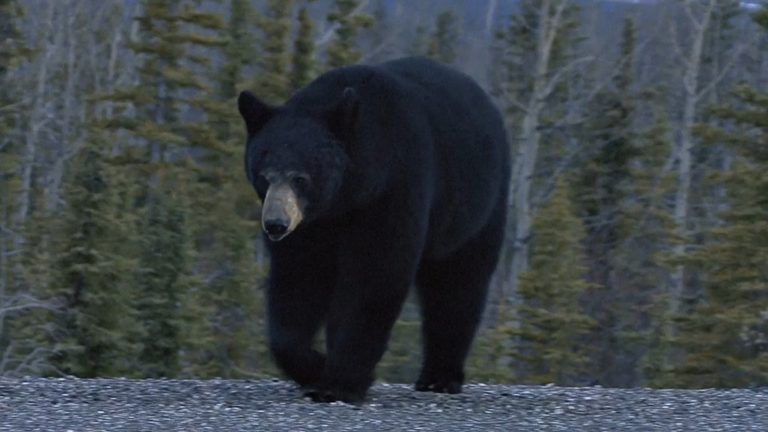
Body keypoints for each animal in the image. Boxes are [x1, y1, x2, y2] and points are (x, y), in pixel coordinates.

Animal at [237, 57, 510, 403]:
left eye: (300, 178)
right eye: (264, 174)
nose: (275, 224)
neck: (345, 198)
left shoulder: (393, 188)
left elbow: (374, 275)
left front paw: (339, 382)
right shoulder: (312, 227)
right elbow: (298, 279)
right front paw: (314, 366)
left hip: (475, 208)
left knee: (458, 285)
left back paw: (440, 377)